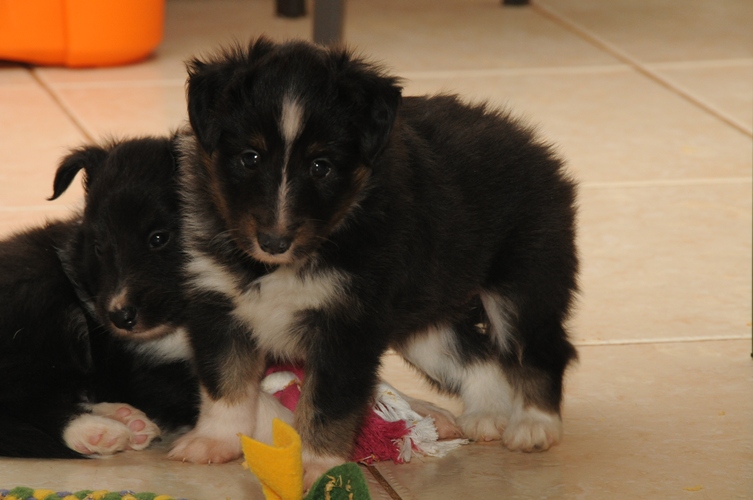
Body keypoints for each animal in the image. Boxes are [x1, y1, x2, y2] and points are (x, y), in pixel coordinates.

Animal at [173, 37, 580, 482]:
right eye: (251, 157)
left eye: (321, 166)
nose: (274, 242)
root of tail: (535, 145)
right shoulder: (217, 301)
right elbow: (224, 381)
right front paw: (214, 442)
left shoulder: (347, 324)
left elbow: (326, 403)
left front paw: (319, 466)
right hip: (428, 317)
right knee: (479, 356)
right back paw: (486, 416)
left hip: (526, 281)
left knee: (541, 350)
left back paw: (534, 426)